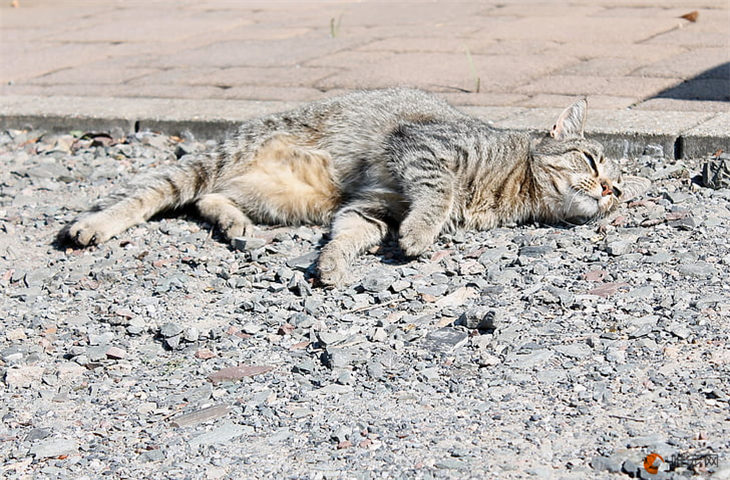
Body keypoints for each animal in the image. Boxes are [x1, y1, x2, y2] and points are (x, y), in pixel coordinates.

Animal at [59, 87, 644, 284]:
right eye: (591, 159)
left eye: (618, 191)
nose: (606, 191)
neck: (509, 191)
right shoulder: (426, 151)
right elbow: (438, 193)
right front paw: (421, 236)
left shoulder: (371, 207)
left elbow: (347, 236)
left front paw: (334, 263)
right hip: (219, 158)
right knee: (153, 193)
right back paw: (91, 226)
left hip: (283, 200)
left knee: (209, 199)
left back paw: (236, 226)